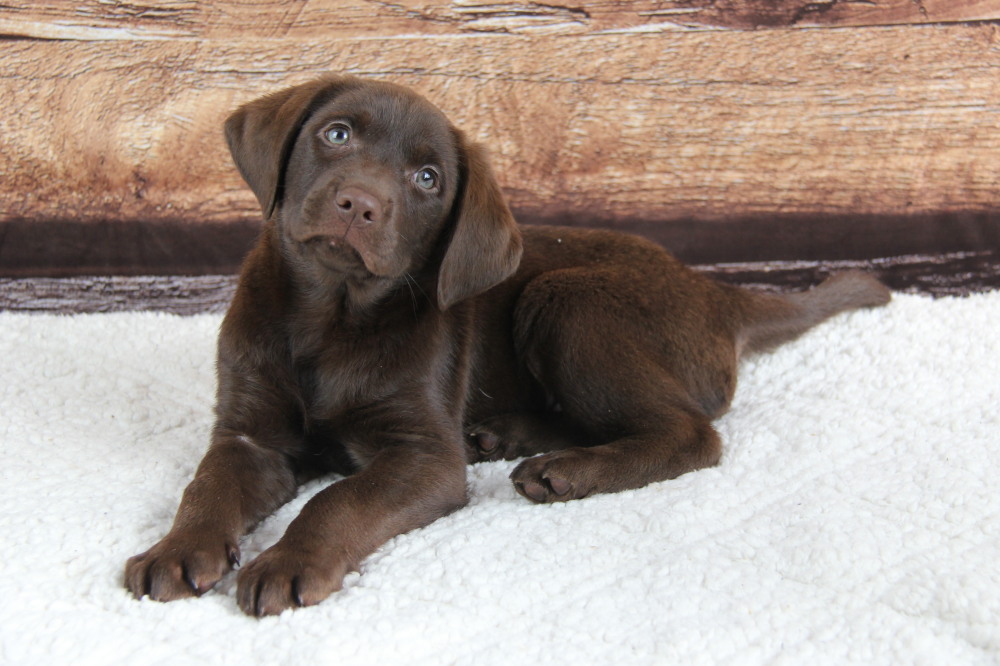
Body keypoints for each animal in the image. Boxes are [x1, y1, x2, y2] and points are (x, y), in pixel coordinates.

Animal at [127, 75, 892, 616]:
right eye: (336, 133)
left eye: (428, 179)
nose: (360, 205)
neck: (332, 314)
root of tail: (716, 290)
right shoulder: (248, 435)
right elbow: (206, 485)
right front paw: (177, 548)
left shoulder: (422, 457)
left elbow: (337, 500)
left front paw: (287, 563)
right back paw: (508, 434)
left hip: (565, 302)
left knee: (690, 433)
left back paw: (567, 470)